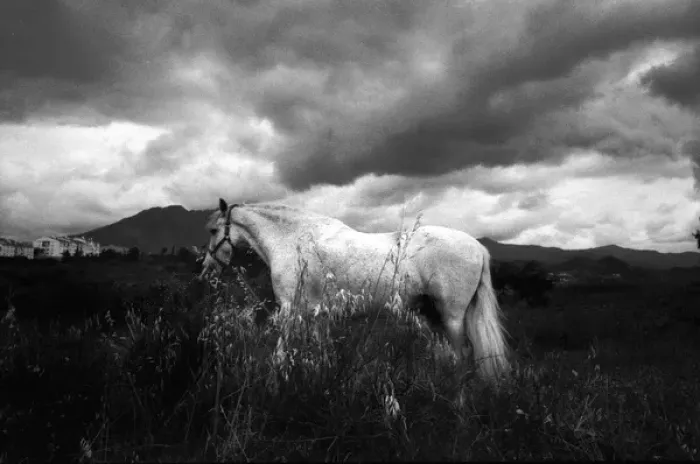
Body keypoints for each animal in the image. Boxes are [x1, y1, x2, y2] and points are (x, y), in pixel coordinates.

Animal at [199, 198, 510, 385]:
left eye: (214, 231)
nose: (207, 269)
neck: (292, 239)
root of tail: (477, 247)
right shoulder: (318, 315)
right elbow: (320, 354)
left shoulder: (290, 310)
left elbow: (280, 354)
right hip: (433, 315)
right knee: (449, 355)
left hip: (452, 317)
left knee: (463, 355)